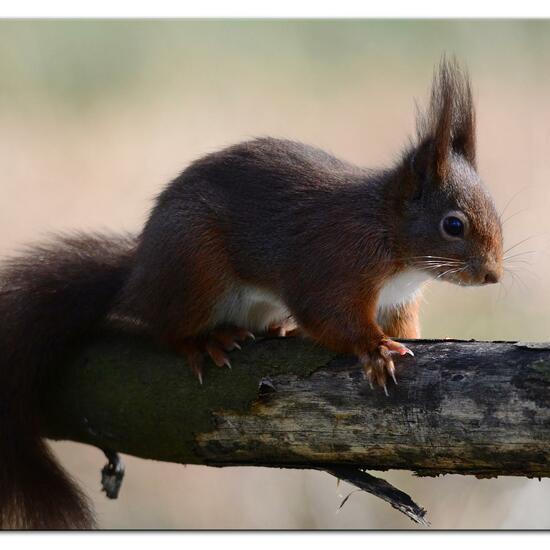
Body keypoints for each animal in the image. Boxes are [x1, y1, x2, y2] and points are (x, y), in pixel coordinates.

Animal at [0, 59, 504, 532]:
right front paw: (374, 349)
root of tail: (138, 273)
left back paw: (276, 328)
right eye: (453, 225)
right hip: (195, 270)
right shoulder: (332, 264)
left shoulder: (397, 300)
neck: (389, 234)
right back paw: (205, 340)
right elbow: (329, 316)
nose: (493, 275)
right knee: (165, 328)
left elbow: (402, 325)